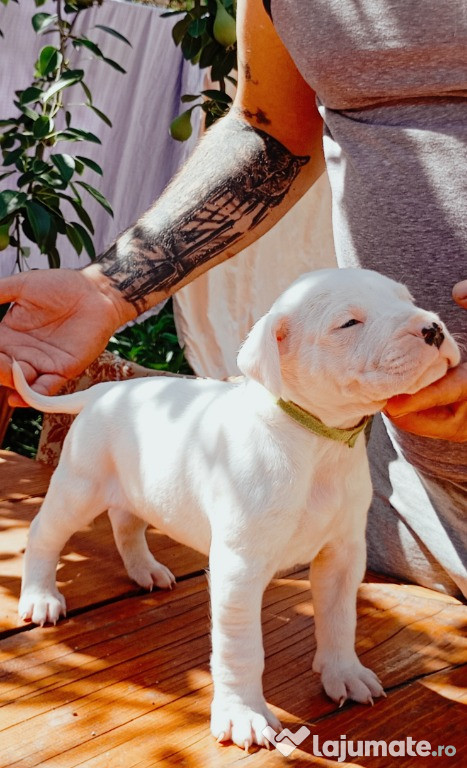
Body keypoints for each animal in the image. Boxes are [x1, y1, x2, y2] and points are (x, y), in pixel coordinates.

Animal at [11, 268, 460, 748]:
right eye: (349, 323)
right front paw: (243, 714)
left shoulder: (342, 555)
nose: (433, 328)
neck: (317, 443)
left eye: (405, 300)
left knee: (125, 522)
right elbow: (241, 647)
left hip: (137, 484)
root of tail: (104, 392)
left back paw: (145, 569)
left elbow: (340, 619)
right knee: (44, 534)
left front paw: (344, 672)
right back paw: (40, 597)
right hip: (80, 486)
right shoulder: (239, 568)